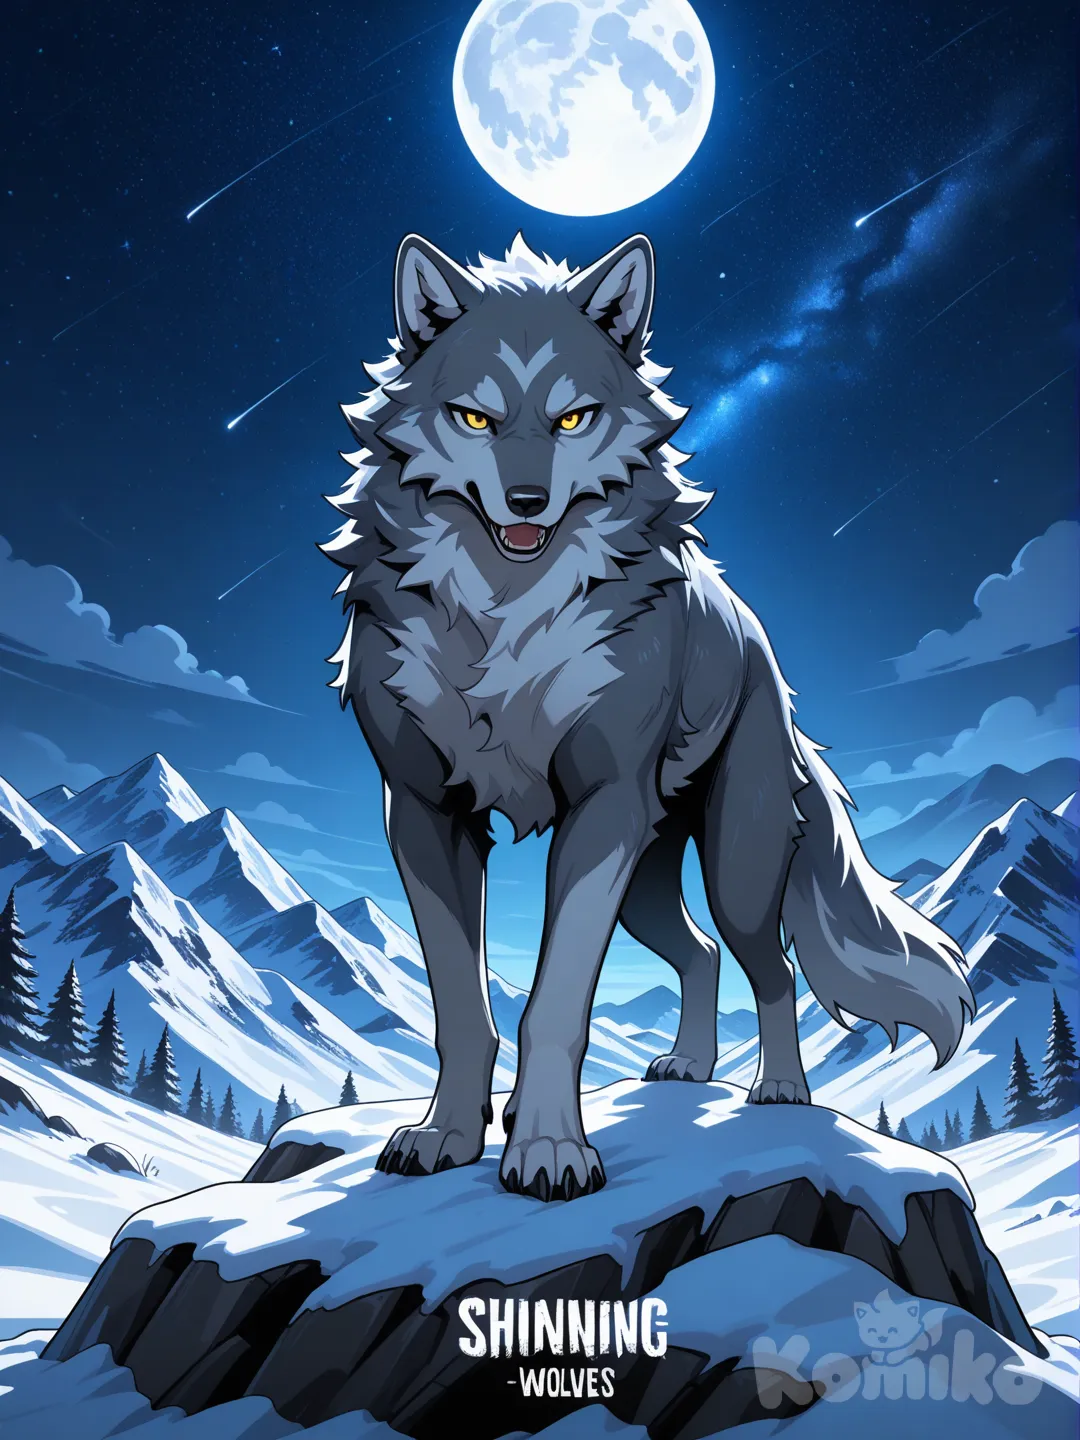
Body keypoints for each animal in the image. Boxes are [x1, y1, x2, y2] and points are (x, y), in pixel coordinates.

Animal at [321, 231, 974, 1203]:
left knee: (769, 965)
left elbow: (555, 1004)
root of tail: (763, 649)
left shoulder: (600, 813)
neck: (502, 615)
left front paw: (548, 1151)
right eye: (474, 419)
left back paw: (778, 1089)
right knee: (700, 953)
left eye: (572, 420)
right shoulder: (425, 814)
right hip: (648, 882)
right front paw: (446, 1135)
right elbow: (461, 1007)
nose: (526, 503)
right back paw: (686, 1069)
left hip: (729, 865)